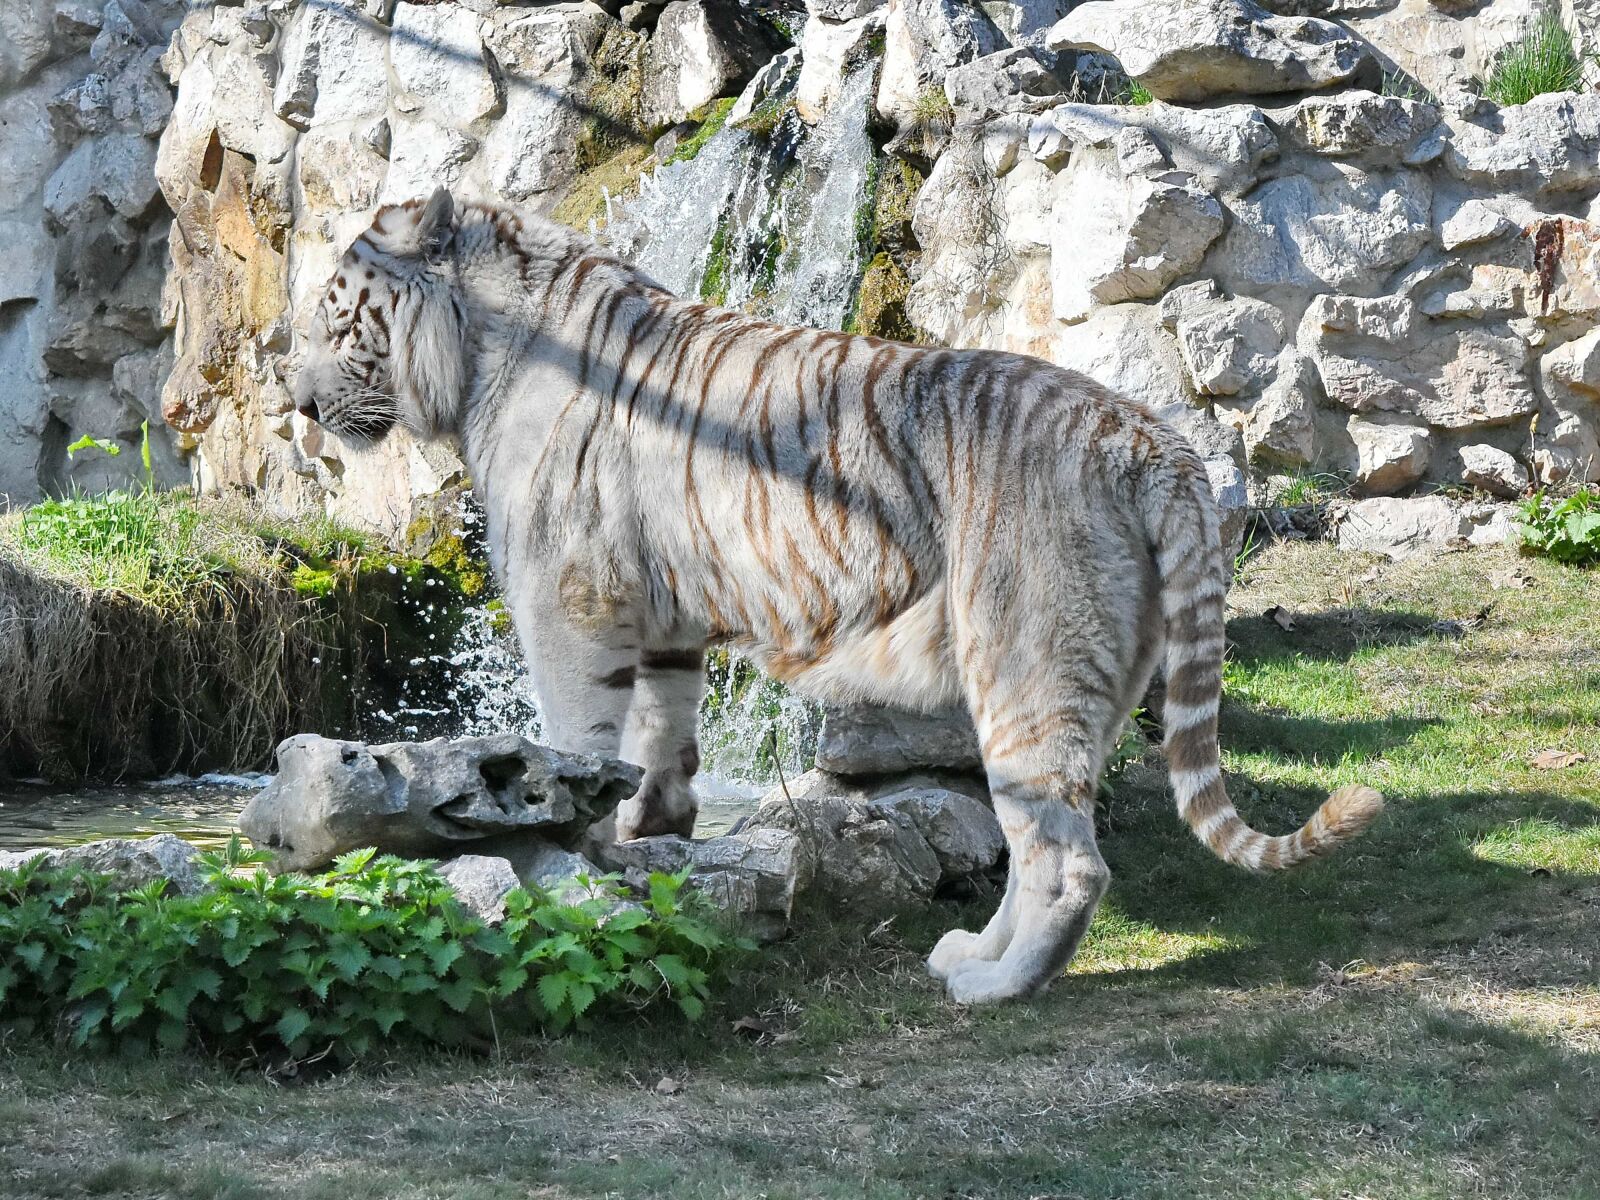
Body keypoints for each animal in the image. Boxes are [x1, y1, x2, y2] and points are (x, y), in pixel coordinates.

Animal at [290, 187, 1383, 1004]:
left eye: (339, 319)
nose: (297, 403)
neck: (482, 353)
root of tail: (1155, 444)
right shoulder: (665, 616)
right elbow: (660, 738)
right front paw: (649, 835)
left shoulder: (572, 600)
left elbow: (575, 732)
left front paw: (569, 847)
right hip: (1101, 675)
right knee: (1044, 838)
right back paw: (970, 957)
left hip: (1023, 665)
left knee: (1067, 860)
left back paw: (996, 988)